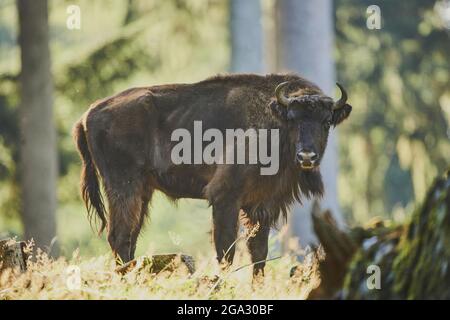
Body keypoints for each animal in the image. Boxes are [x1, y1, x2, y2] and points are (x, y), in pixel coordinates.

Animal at [73, 72, 352, 276]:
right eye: (293, 120)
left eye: (326, 122)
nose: (307, 157)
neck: (275, 122)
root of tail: (88, 114)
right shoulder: (225, 198)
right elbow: (226, 250)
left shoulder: (263, 205)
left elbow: (258, 252)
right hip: (124, 187)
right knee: (119, 237)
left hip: (142, 192)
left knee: (129, 238)